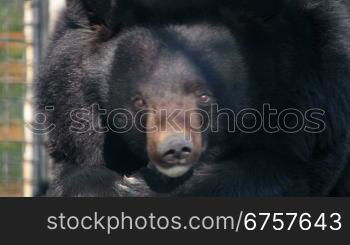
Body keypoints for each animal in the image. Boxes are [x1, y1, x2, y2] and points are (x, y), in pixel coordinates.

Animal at [34, 0, 350, 196]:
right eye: (139, 101)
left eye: (204, 95)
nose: (175, 148)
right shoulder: (69, 104)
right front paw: (112, 187)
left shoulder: (316, 92)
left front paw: (139, 189)